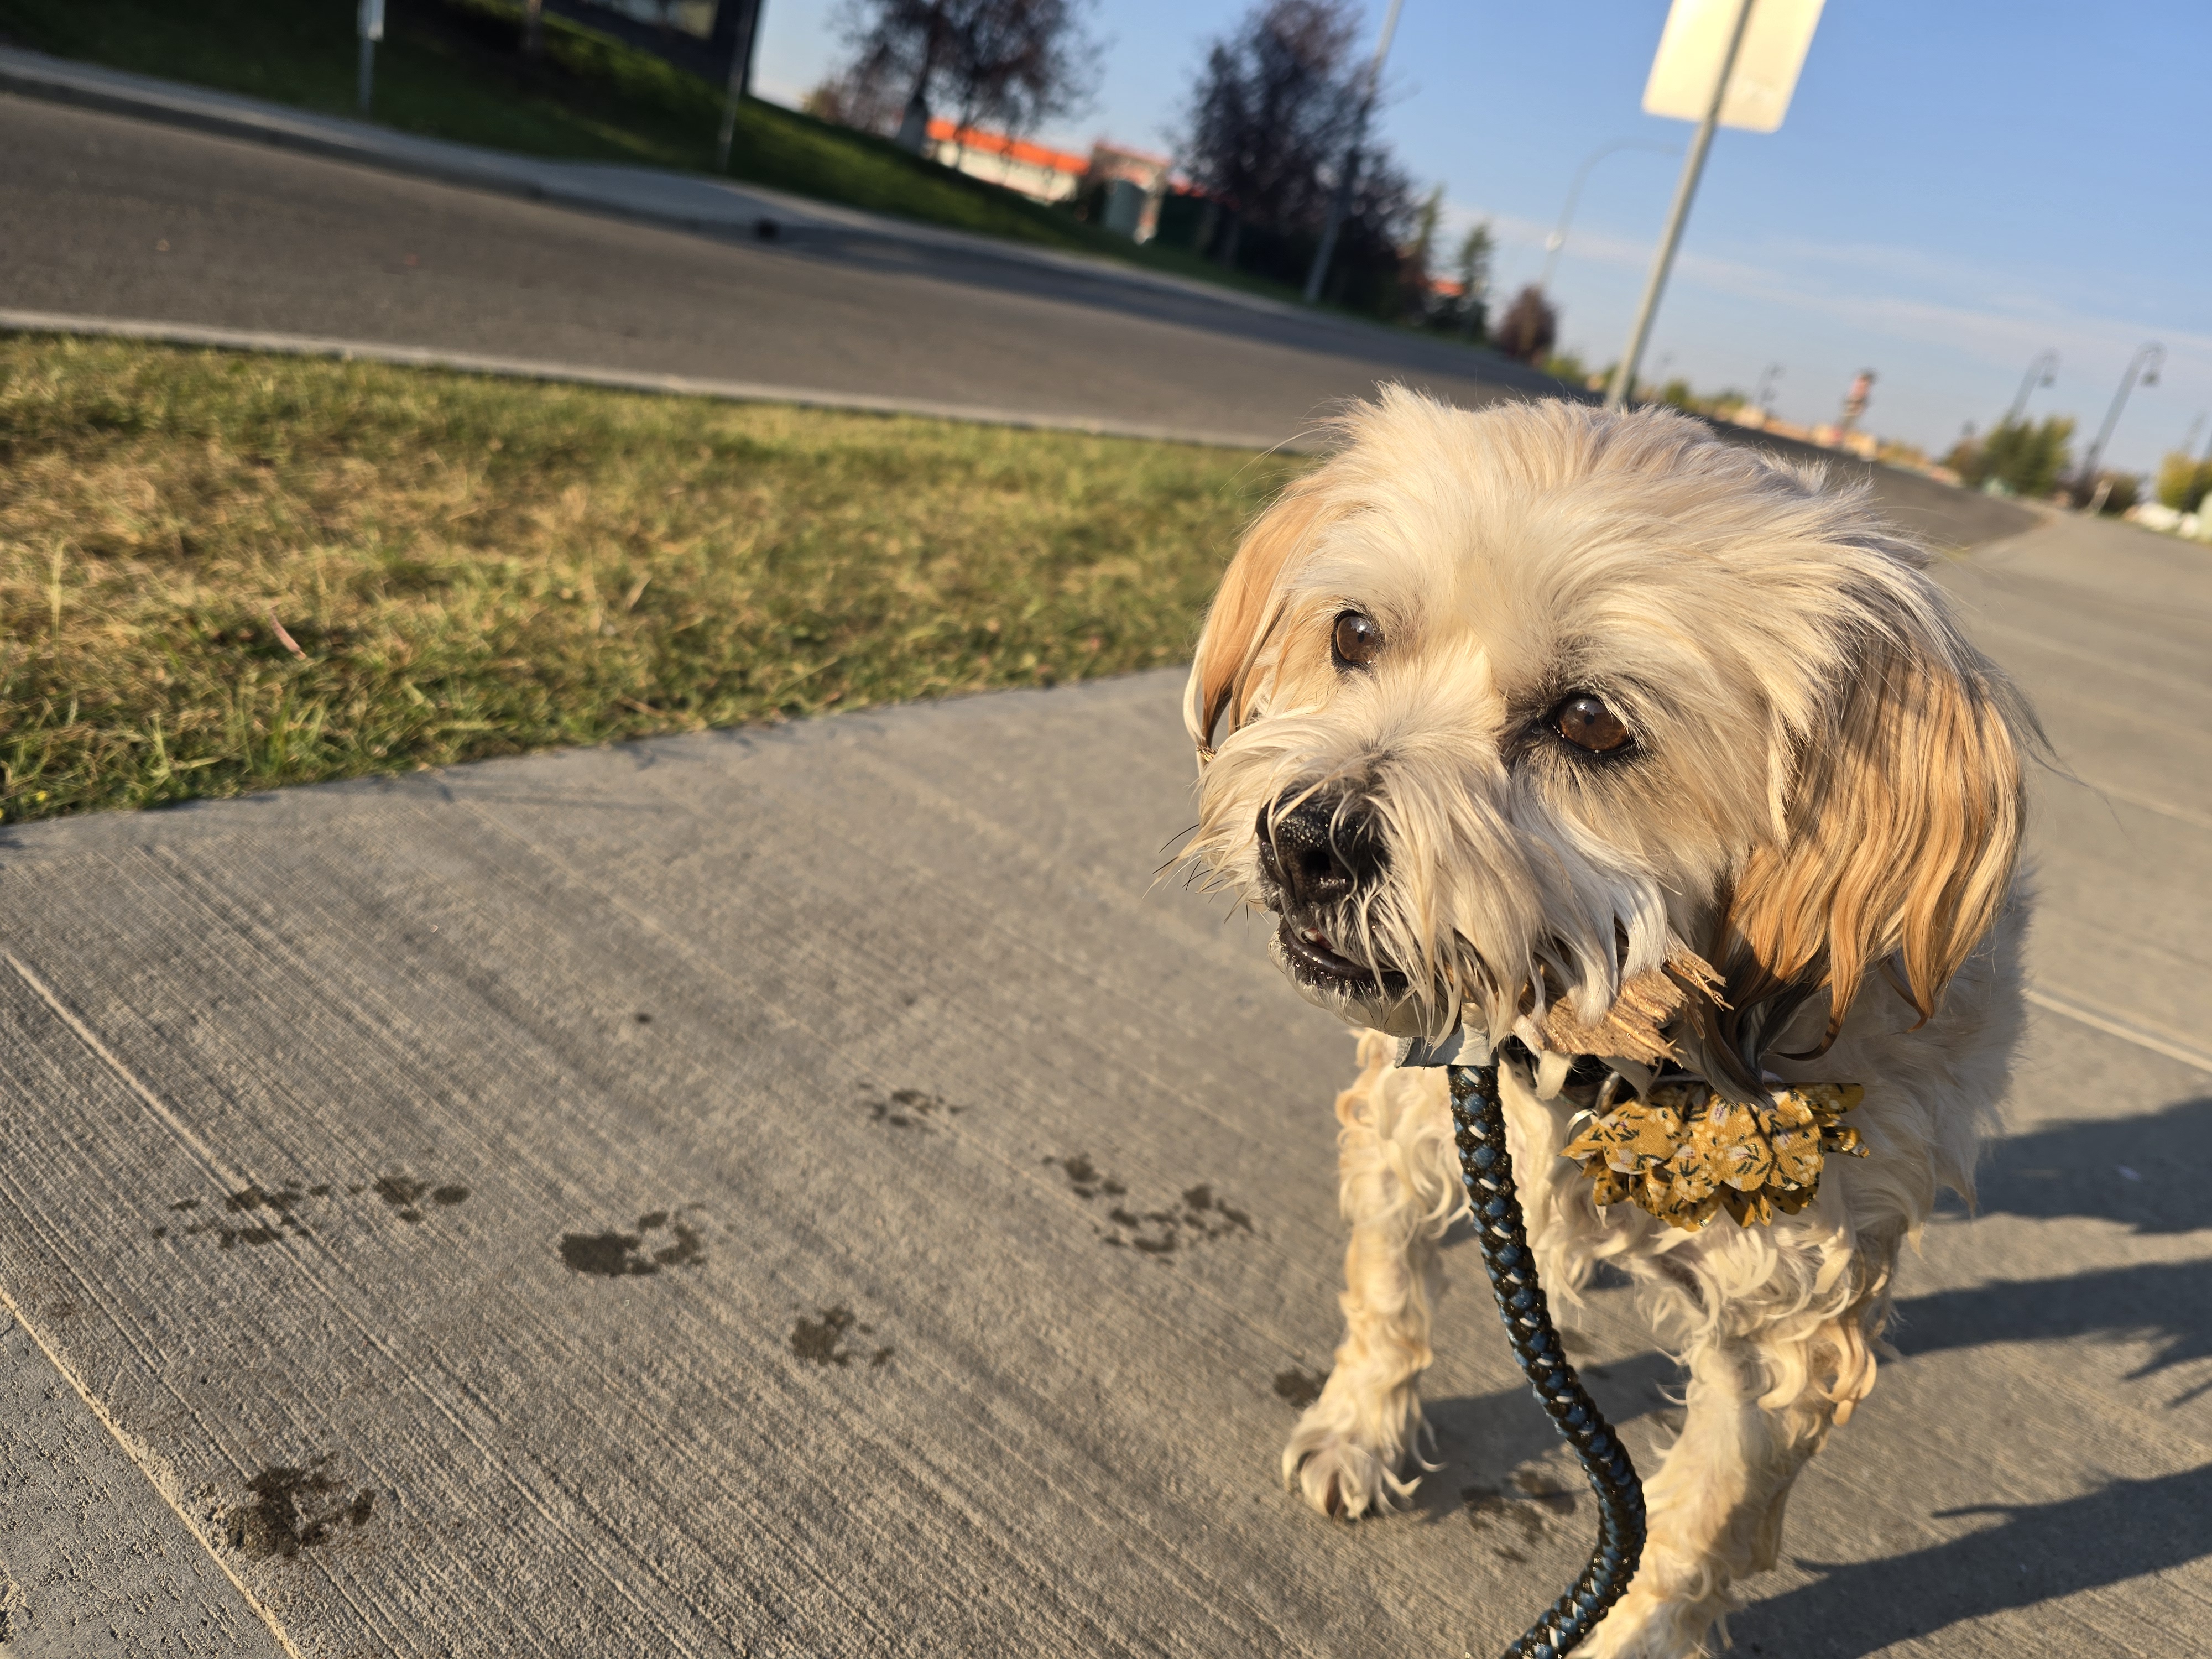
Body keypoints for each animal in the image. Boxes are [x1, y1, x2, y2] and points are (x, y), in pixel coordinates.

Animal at [1180, 390, 2033, 1657]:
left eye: (1588, 722)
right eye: (1355, 635)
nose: (1305, 841)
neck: (1605, 1049)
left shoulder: (1784, 1331)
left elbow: (1702, 1519)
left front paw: (1638, 1633)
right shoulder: (1414, 1125)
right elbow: (1387, 1295)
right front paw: (1361, 1428)